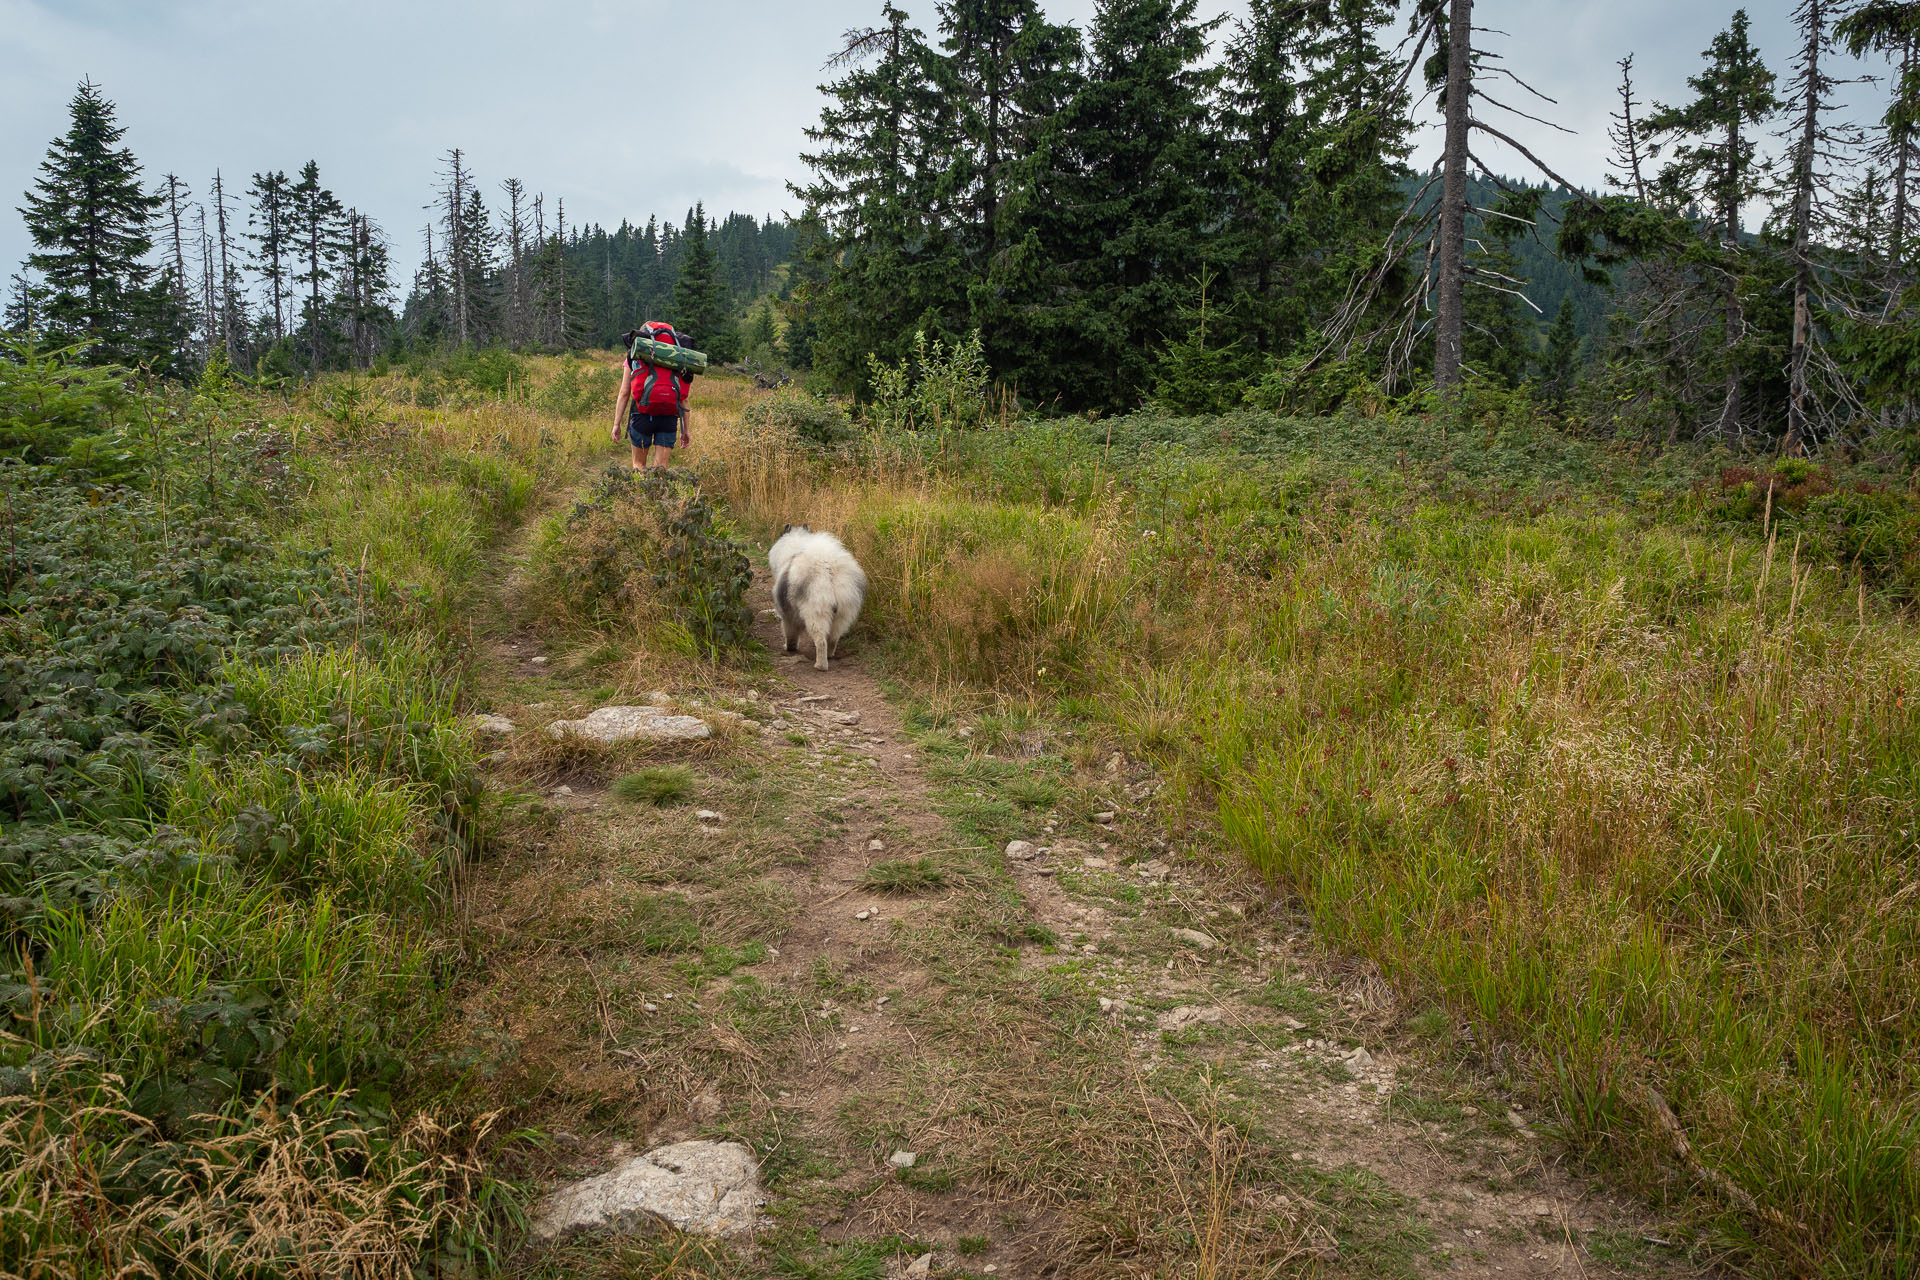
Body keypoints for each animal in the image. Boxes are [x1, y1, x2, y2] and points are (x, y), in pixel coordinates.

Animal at [768, 525, 867, 675]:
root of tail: (829, 571)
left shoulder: (787, 615)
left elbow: (790, 635)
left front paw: (789, 648)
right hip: (843, 614)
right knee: (833, 638)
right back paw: (829, 655)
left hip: (815, 613)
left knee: (821, 641)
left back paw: (820, 665)